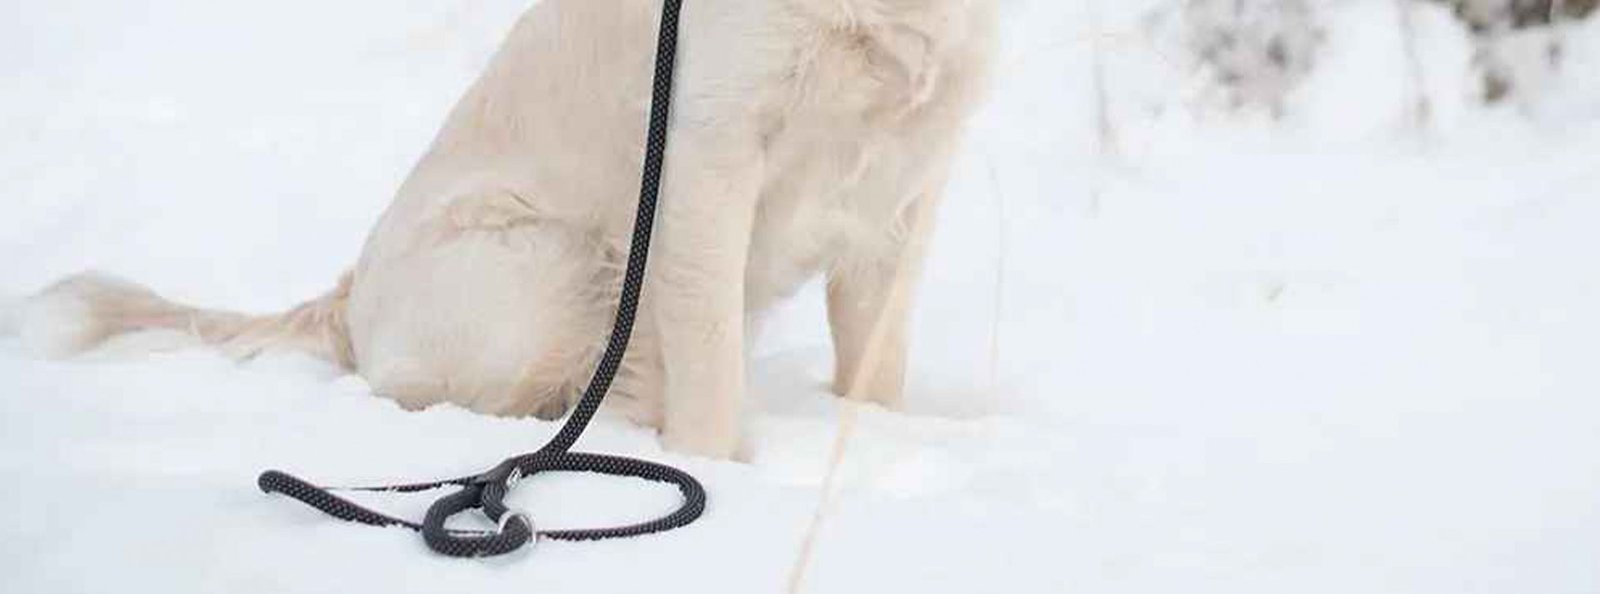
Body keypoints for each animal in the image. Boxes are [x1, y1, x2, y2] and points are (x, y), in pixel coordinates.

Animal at [18, 0, 992, 461]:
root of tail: (349, 297)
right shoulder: (707, 149)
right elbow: (710, 375)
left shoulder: (912, 177)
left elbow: (876, 367)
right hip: (560, 268)